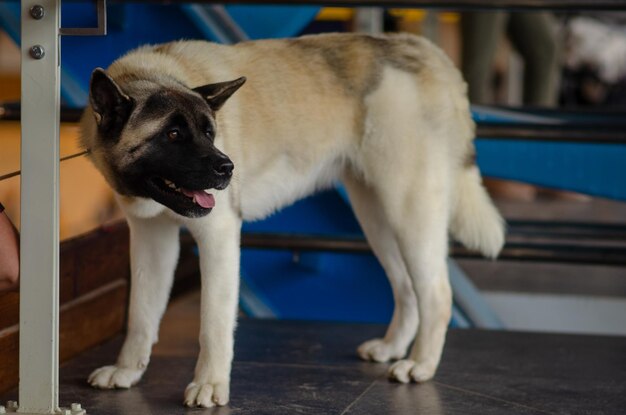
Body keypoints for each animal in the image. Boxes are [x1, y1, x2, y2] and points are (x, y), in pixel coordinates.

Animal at [80, 33, 504, 410]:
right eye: (172, 134)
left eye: (209, 132)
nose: (228, 169)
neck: (152, 71)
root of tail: (425, 50)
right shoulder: (151, 240)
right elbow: (141, 313)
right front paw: (127, 370)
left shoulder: (219, 238)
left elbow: (213, 324)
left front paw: (210, 384)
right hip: (378, 220)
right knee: (406, 288)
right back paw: (393, 347)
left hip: (409, 210)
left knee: (436, 294)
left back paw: (420, 364)